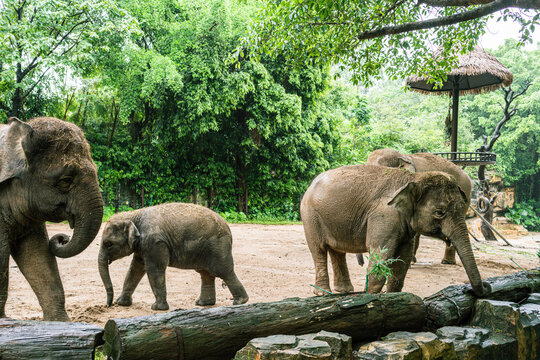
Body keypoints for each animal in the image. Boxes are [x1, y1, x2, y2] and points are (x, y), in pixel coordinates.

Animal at [97, 202, 249, 310]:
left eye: (108, 244)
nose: (108, 305)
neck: (134, 214)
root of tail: (228, 228)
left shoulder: (155, 243)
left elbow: (154, 269)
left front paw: (157, 308)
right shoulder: (142, 246)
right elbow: (135, 269)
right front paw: (122, 303)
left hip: (218, 247)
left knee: (223, 271)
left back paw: (240, 302)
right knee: (206, 273)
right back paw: (203, 304)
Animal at [302, 165, 492, 296]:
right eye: (440, 212)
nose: (486, 285)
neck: (414, 178)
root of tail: (310, 184)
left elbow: (403, 258)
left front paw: (393, 297)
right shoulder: (385, 215)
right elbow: (380, 253)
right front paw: (370, 297)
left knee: (337, 251)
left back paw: (345, 291)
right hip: (310, 216)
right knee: (319, 249)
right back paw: (322, 292)